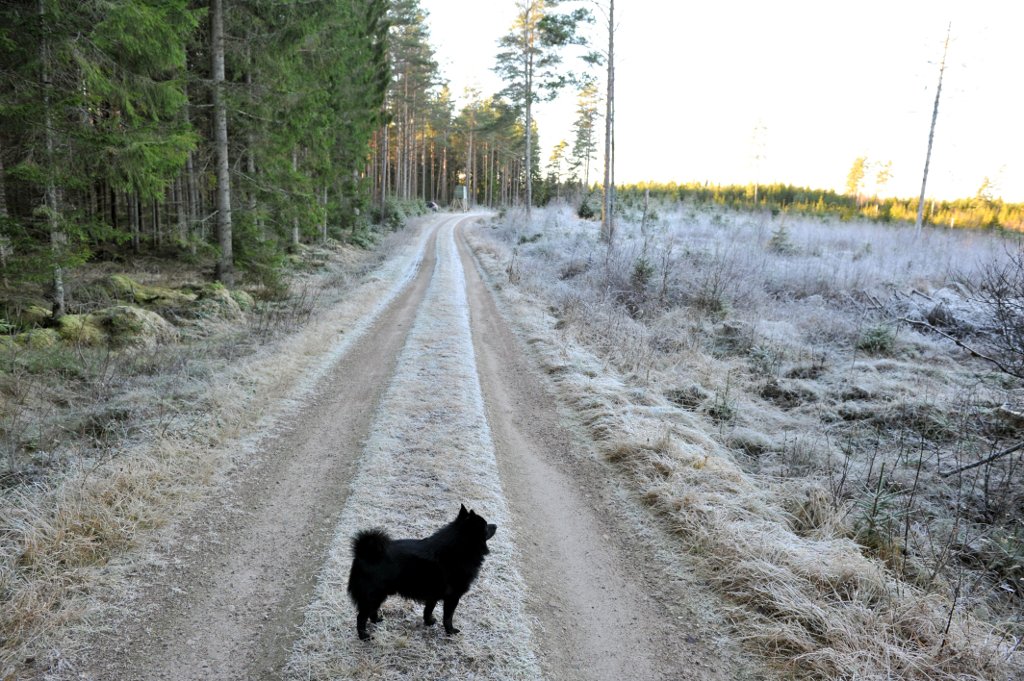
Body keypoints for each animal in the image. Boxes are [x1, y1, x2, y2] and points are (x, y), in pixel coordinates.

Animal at [348, 501, 499, 639]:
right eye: (486, 526)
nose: (496, 525)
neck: (458, 549)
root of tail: (365, 553)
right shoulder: (453, 597)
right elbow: (448, 617)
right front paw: (450, 631)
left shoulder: (433, 594)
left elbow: (428, 609)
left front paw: (429, 622)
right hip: (373, 594)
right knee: (361, 617)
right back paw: (364, 636)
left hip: (378, 594)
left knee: (371, 611)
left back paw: (376, 620)